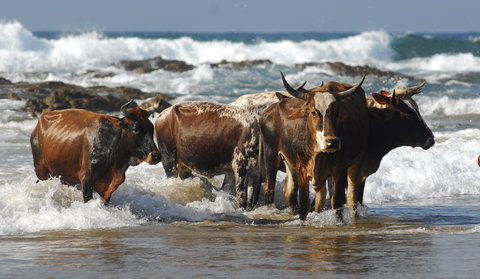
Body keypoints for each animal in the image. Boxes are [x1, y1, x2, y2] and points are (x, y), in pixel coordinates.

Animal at [30, 102, 159, 203]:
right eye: (135, 129)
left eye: (152, 128)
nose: (155, 155)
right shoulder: (86, 181)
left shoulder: (108, 188)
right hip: (41, 172)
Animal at [258, 74, 368, 221]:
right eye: (313, 112)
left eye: (336, 112)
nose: (332, 142)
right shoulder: (302, 169)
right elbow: (304, 203)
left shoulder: (339, 169)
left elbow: (337, 202)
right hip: (271, 155)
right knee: (272, 189)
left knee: (348, 195)